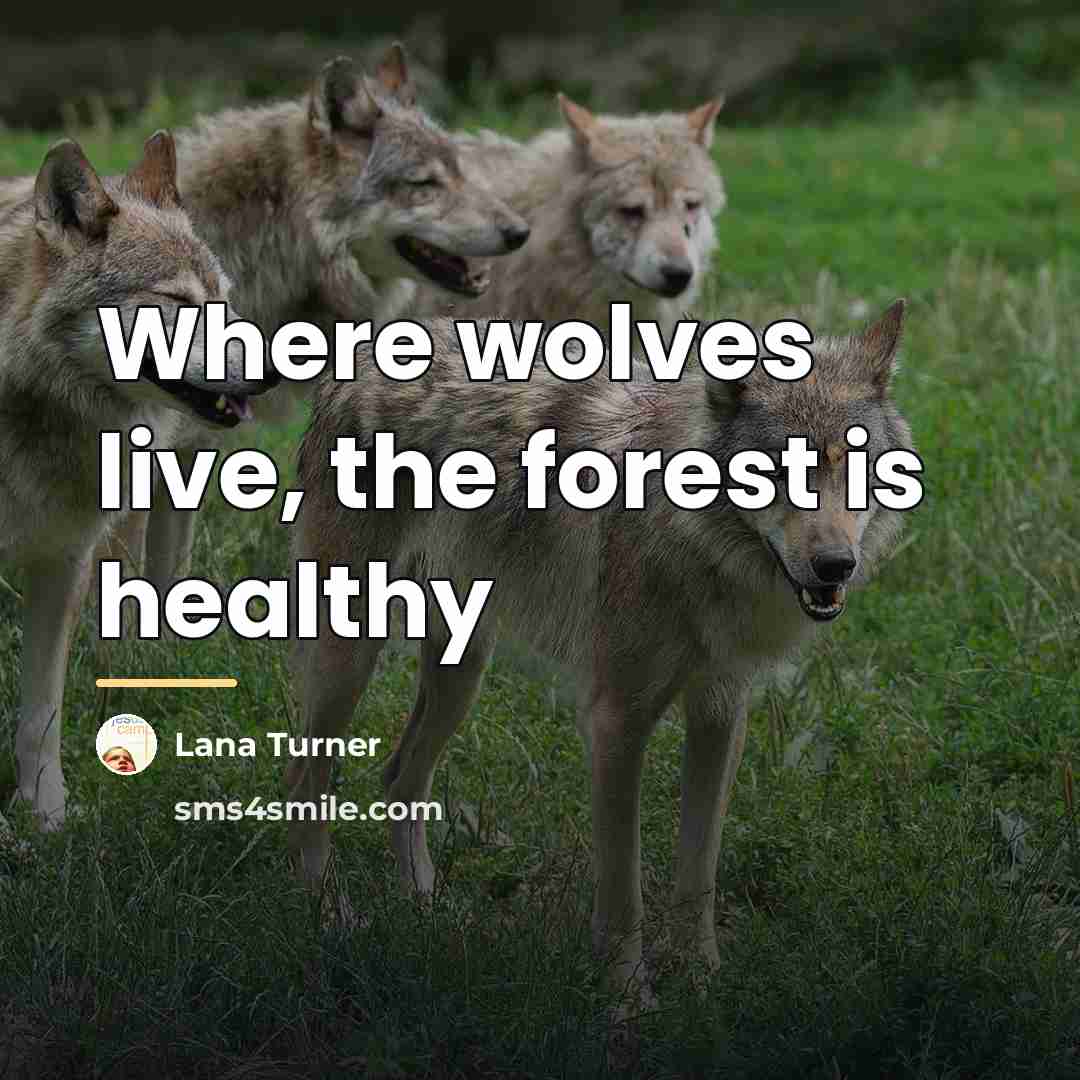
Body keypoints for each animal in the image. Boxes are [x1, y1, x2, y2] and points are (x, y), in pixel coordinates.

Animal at [0, 132, 272, 829]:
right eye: (177, 304)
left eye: (224, 298)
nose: (275, 371)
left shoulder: (65, 560)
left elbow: (42, 711)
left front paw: (45, 812)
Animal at [284, 300, 913, 1001]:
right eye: (776, 471)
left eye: (855, 467)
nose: (836, 566)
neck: (695, 543)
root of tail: (359, 355)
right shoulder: (616, 723)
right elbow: (622, 894)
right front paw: (630, 1004)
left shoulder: (721, 712)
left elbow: (697, 875)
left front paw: (704, 985)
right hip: (351, 659)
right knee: (304, 783)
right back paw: (329, 922)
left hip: (463, 670)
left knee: (399, 777)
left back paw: (428, 914)